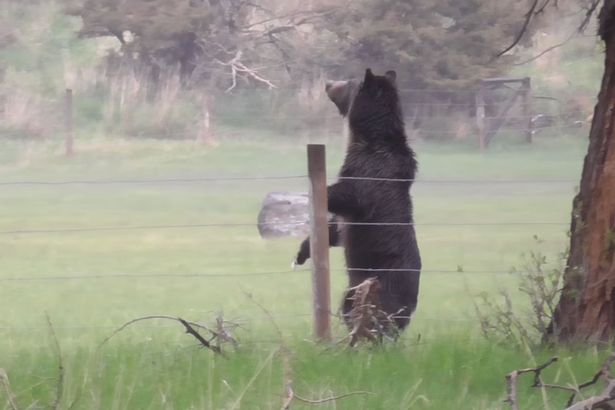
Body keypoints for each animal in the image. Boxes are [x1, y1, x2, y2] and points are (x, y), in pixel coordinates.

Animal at [294, 67, 422, 330]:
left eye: (351, 82)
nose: (328, 82)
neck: (367, 139)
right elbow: (335, 228)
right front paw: (302, 251)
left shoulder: (369, 173)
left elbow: (346, 197)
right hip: (357, 287)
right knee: (350, 306)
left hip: (383, 282)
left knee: (377, 318)